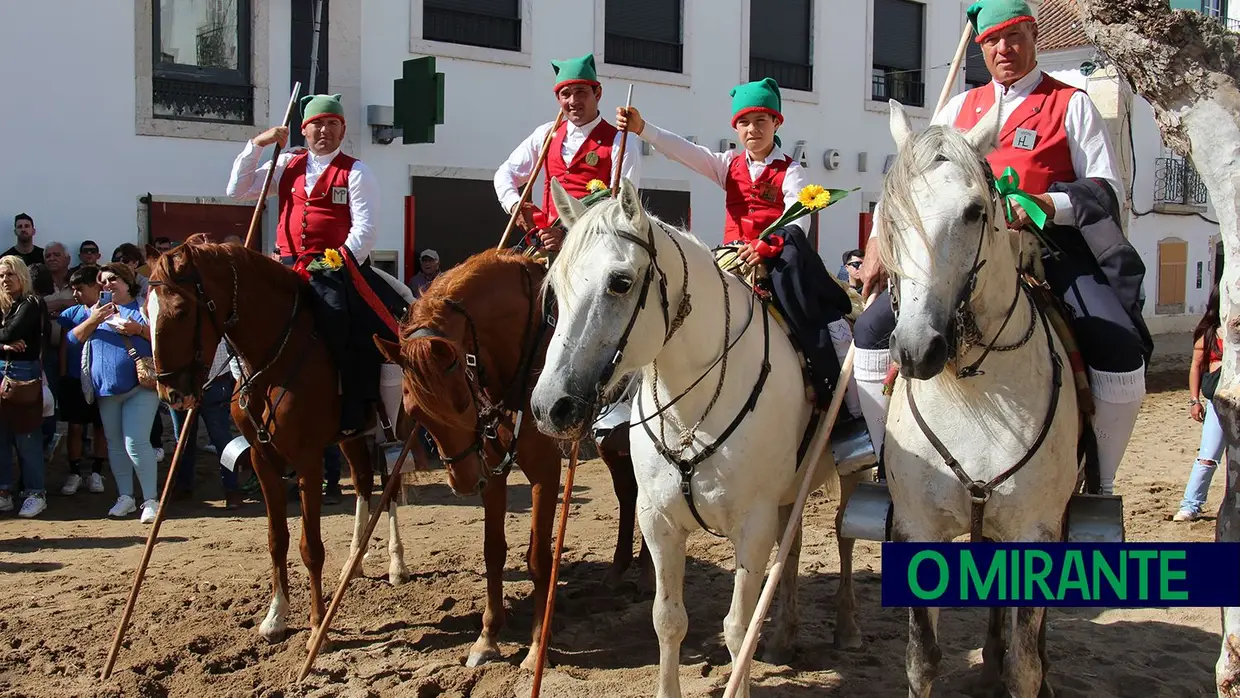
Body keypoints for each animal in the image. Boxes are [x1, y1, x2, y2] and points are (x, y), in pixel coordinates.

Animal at [144, 236, 406, 649]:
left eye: (182, 311)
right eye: (146, 311)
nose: (172, 393)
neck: (273, 360)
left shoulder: (308, 461)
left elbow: (310, 547)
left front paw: (317, 628)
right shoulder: (263, 459)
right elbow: (276, 539)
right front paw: (276, 617)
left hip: (396, 427)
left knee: (391, 486)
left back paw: (397, 565)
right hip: (351, 437)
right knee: (364, 481)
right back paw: (355, 561)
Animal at [374, 247, 649, 669]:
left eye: (460, 400)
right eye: (414, 409)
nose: (464, 482)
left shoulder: (545, 471)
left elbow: (538, 557)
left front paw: (537, 648)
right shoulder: (493, 469)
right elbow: (494, 551)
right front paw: (487, 638)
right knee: (627, 491)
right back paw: (619, 569)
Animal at [530, 178, 863, 698]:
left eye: (619, 282)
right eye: (556, 289)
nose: (550, 407)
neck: (693, 409)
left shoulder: (752, 525)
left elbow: (737, 629)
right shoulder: (659, 522)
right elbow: (668, 620)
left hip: (851, 474)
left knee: (844, 539)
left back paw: (847, 629)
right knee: (793, 549)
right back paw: (784, 640)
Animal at [877, 99, 1081, 698]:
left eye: (973, 211)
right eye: (889, 215)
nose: (916, 348)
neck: (976, 391)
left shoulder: (1038, 535)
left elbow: (1025, 666)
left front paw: (1025, 667)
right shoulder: (916, 529)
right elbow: (922, 659)